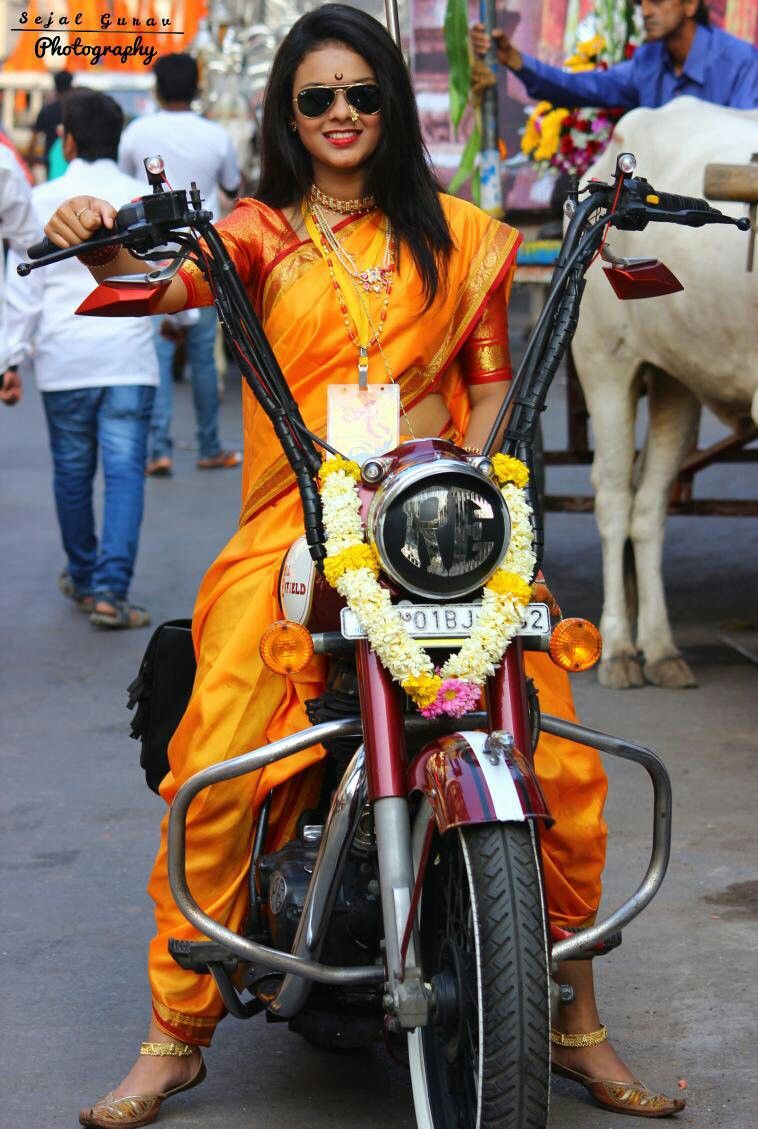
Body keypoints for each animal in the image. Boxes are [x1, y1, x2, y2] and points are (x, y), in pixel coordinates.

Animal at [576, 99, 758, 686]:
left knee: (649, 506)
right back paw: (616, 647)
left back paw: (657, 648)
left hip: (678, 381)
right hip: (604, 361)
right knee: (613, 498)